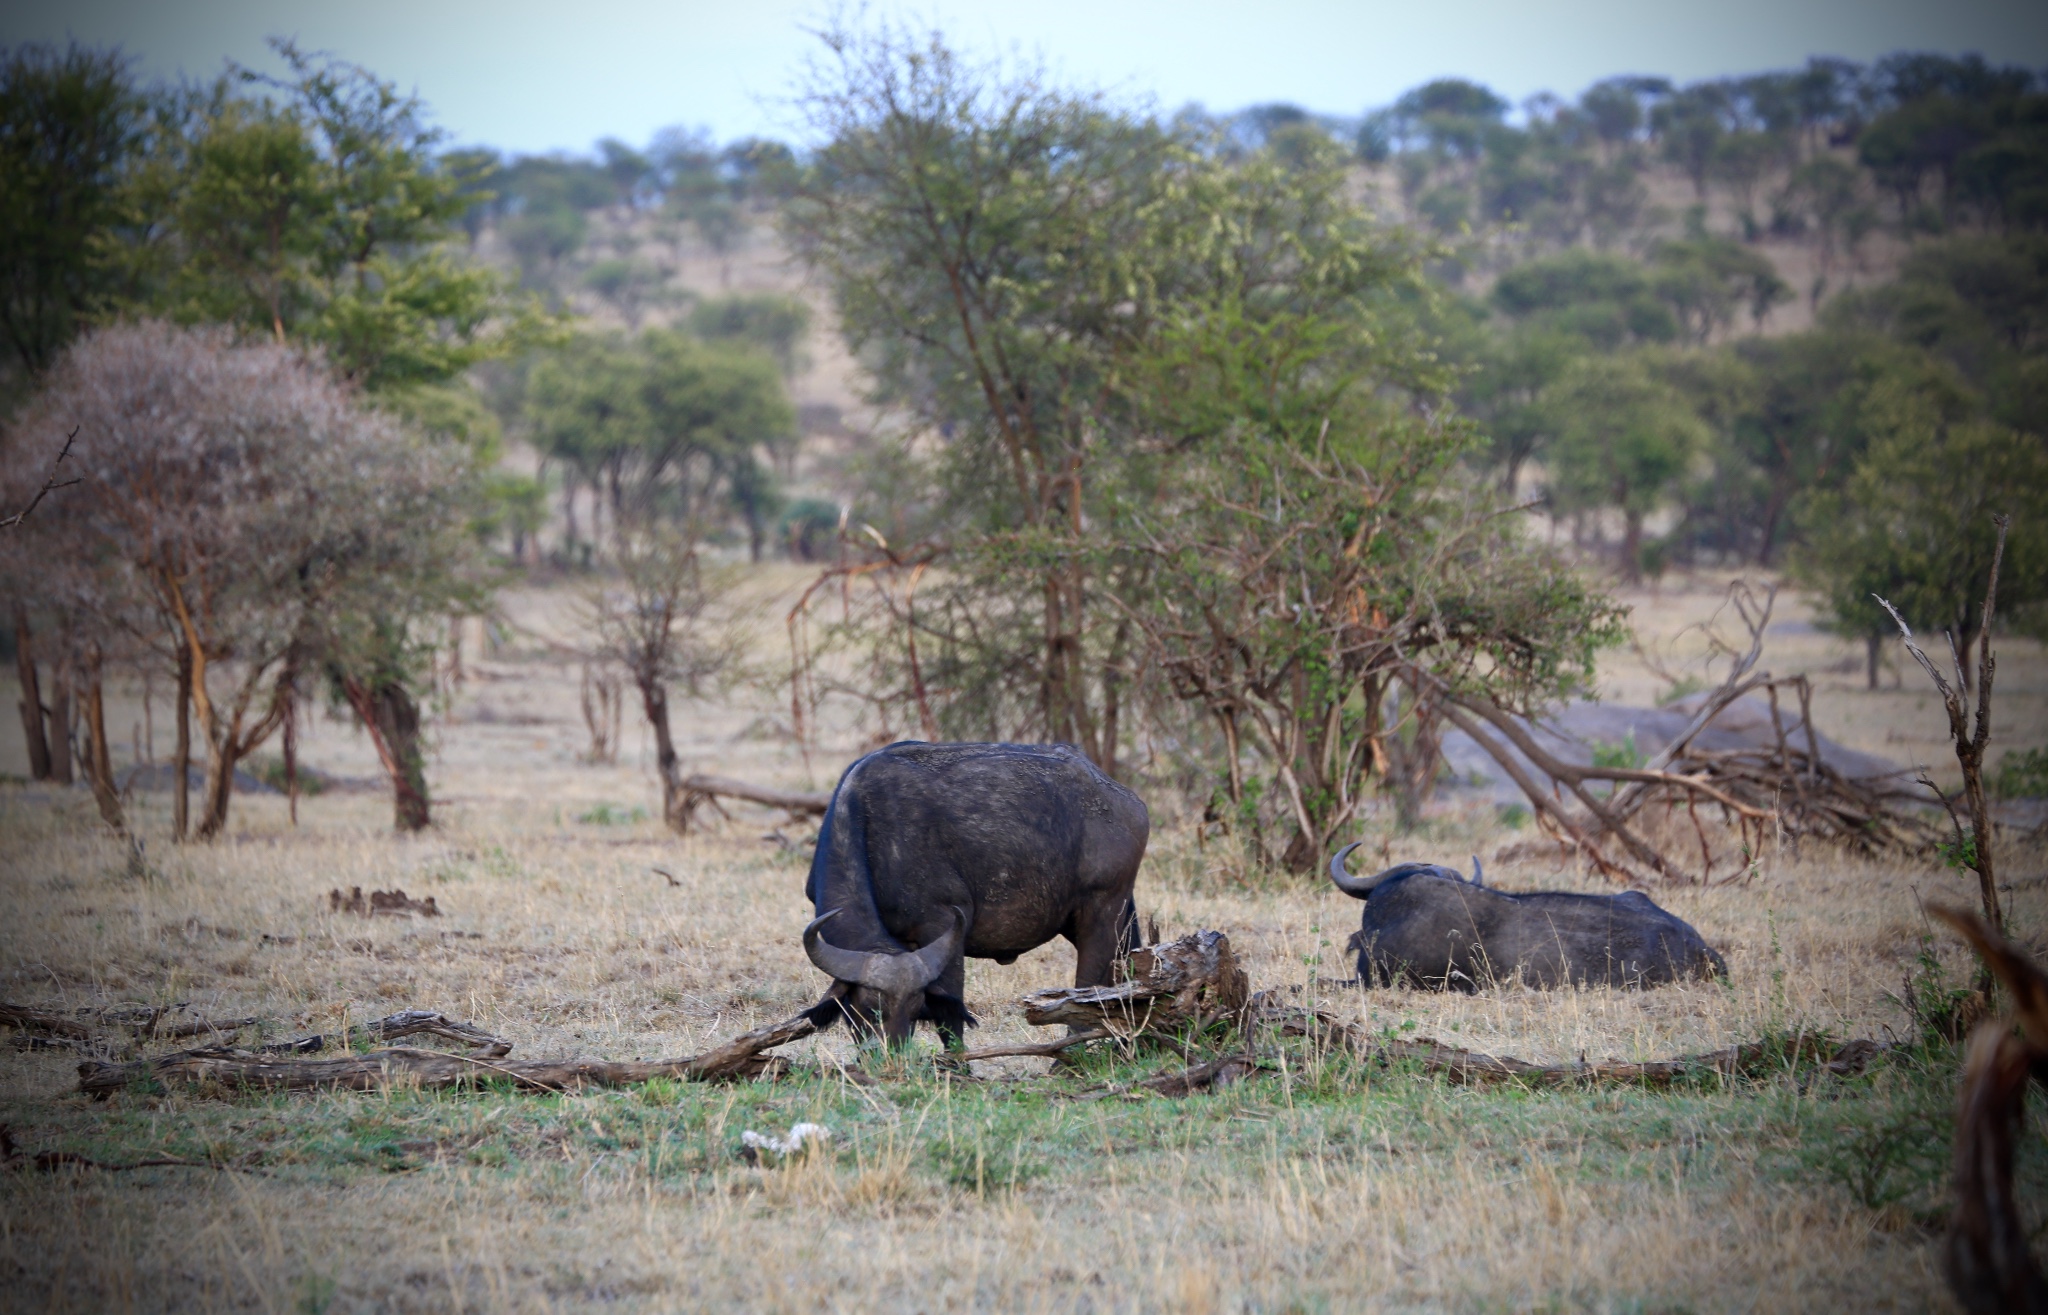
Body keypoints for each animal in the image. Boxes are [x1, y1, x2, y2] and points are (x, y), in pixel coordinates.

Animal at [798, 737, 1155, 1044]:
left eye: (914, 1009)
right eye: (869, 1010)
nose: (893, 1055)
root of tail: (1125, 799)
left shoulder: (943, 926)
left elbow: (950, 1018)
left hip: (1102, 912)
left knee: (1089, 991)